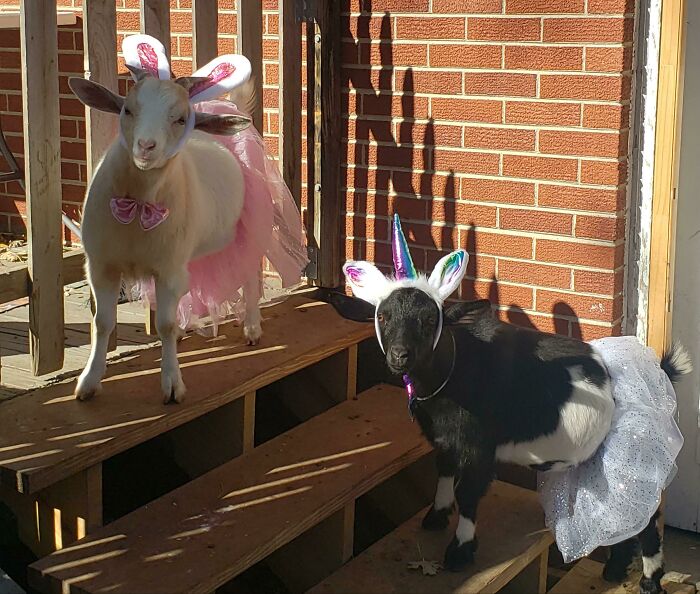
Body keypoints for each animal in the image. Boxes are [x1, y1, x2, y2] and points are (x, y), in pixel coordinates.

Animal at [342, 214, 689, 594]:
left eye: (431, 319)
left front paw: (460, 551)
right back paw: (614, 569)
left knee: (647, 518)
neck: (453, 371)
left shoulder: (479, 448)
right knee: (621, 514)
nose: (399, 355)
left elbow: (468, 494)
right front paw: (435, 517)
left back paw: (650, 580)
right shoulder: (447, 441)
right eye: (383, 316)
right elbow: (445, 472)